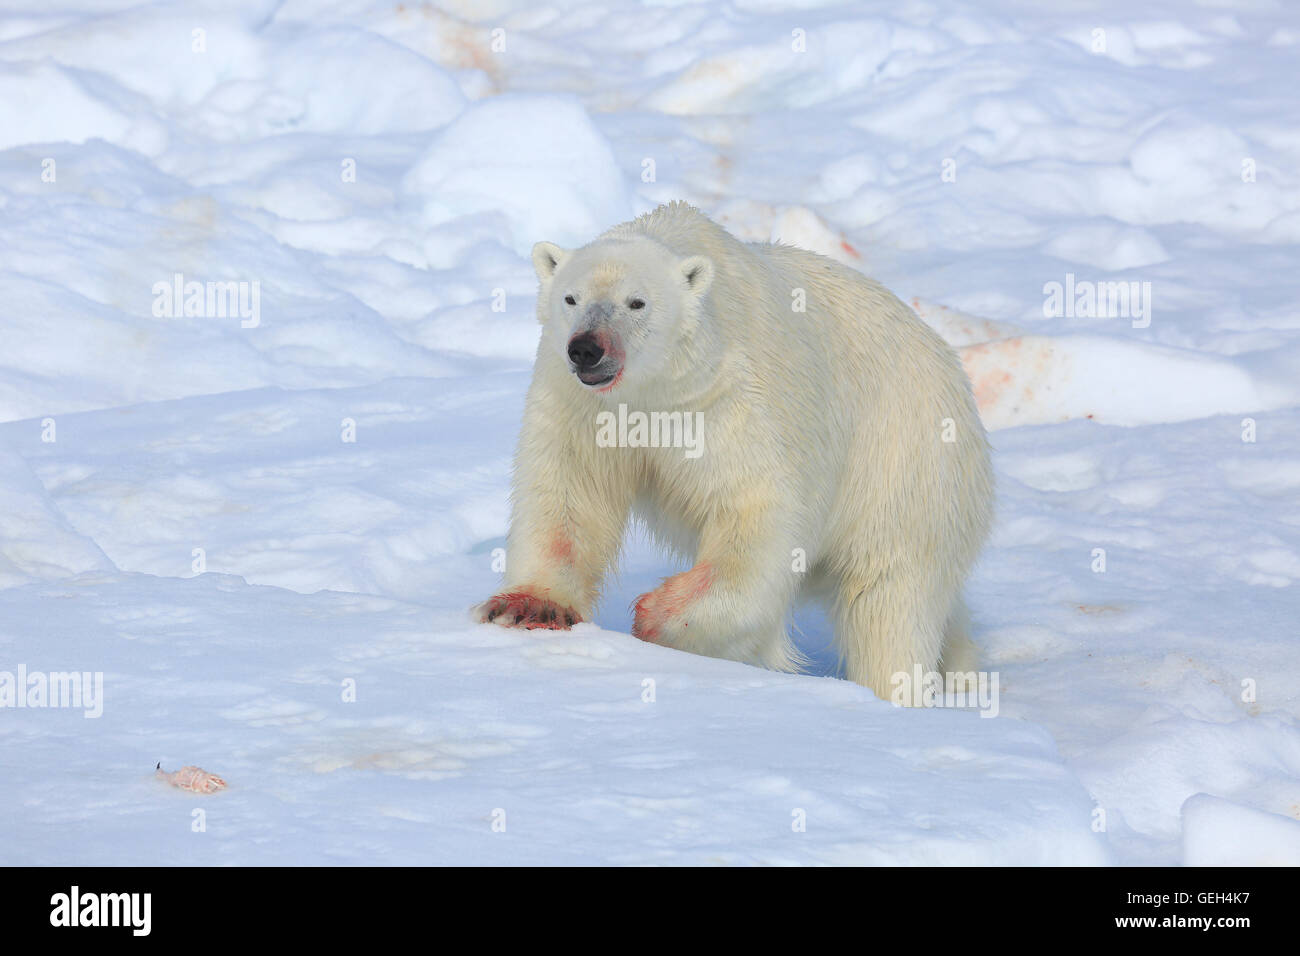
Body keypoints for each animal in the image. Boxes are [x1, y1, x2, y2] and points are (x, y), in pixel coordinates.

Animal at [478, 201, 993, 697]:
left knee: (889, 598)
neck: (653, 390)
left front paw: (658, 614)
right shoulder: (581, 406)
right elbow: (569, 493)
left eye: (636, 302)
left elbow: (757, 508)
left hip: (904, 465)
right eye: (571, 298)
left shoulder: (729, 397)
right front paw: (531, 608)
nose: (587, 348)